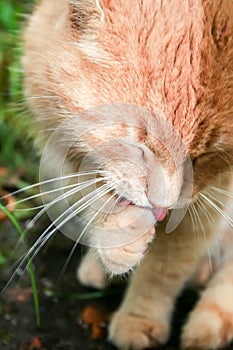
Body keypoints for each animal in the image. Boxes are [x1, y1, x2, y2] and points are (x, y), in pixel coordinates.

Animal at [22, 0, 233, 348]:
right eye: (140, 144)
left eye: (200, 157)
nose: (163, 206)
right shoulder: (58, 145)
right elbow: (94, 194)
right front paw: (118, 239)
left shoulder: (209, 199)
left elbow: (164, 268)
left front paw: (139, 318)